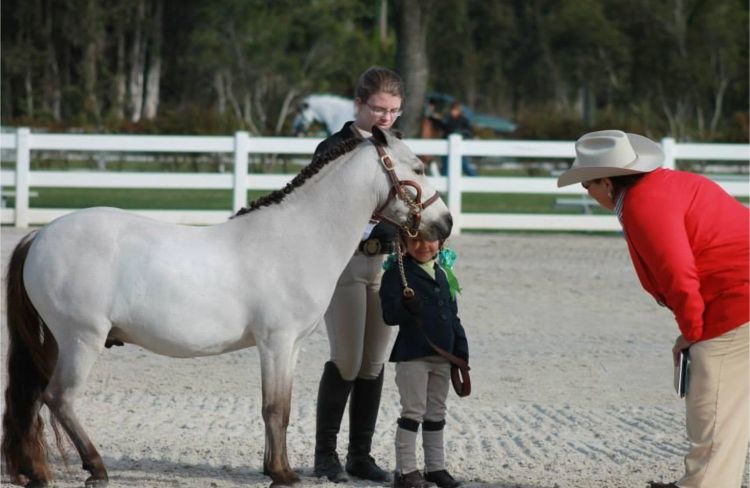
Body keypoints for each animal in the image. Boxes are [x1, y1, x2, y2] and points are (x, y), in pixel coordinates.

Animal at [1, 127, 452, 486]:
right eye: (418, 168)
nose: (445, 223)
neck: (299, 237)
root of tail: (39, 236)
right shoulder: (274, 342)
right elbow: (274, 408)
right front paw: (283, 474)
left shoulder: (291, 346)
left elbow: (284, 407)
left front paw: (276, 468)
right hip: (81, 339)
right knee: (59, 398)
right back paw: (93, 469)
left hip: (56, 342)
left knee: (34, 399)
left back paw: (36, 472)